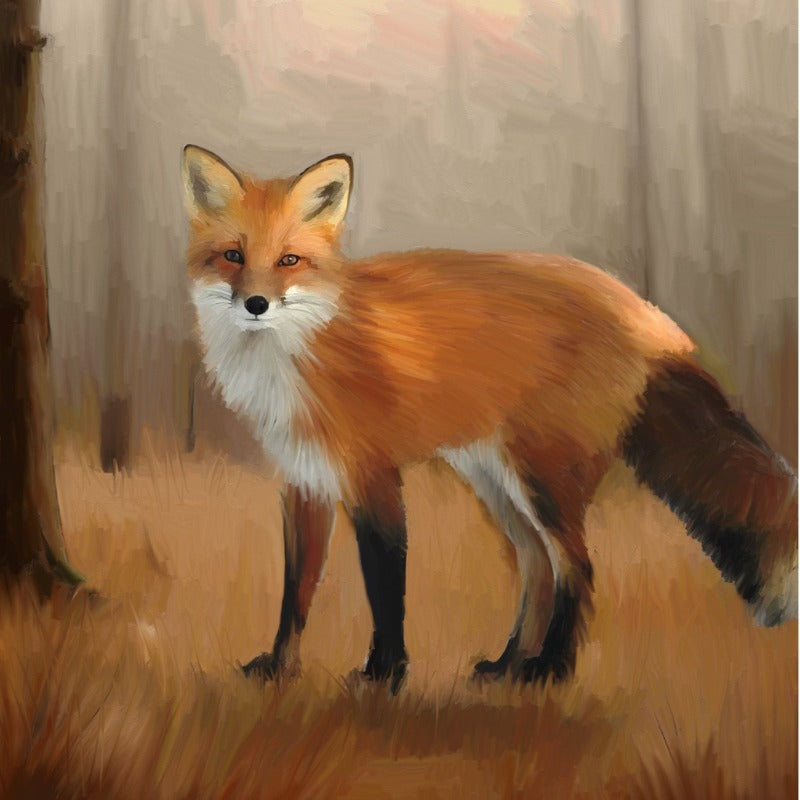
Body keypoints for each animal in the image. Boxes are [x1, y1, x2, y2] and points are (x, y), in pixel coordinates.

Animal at [181, 144, 798, 692]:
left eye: (288, 260)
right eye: (233, 256)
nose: (256, 304)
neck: (299, 351)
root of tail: (643, 311)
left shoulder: (374, 478)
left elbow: (385, 588)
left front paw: (385, 675)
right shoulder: (304, 481)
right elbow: (296, 593)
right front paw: (279, 669)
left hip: (542, 479)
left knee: (578, 568)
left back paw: (551, 670)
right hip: (496, 481)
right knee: (537, 567)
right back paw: (507, 666)